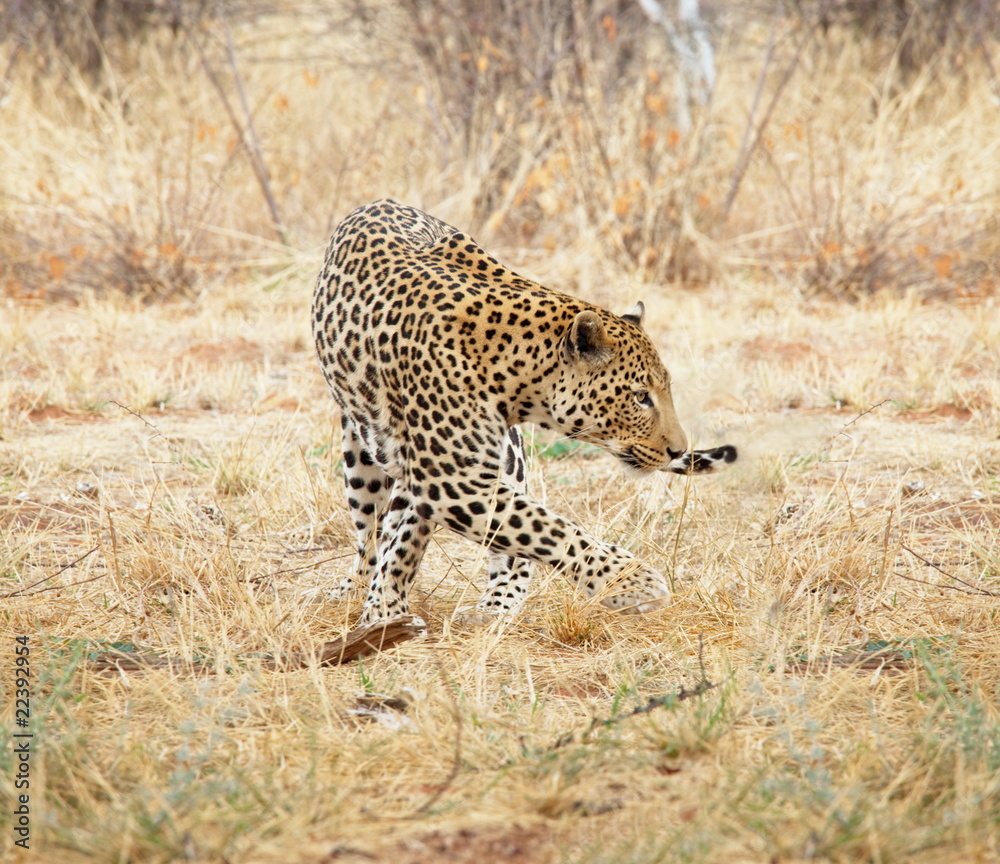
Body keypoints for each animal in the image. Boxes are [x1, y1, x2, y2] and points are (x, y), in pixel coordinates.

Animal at [312, 199, 737, 625]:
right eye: (640, 397)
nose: (677, 449)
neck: (516, 364)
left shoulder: (444, 478)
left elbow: (413, 543)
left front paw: (387, 609)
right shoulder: (452, 480)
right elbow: (543, 527)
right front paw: (633, 583)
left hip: (503, 457)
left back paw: (494, 604)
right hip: (360, 460)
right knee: (369, 535)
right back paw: (353, 591)